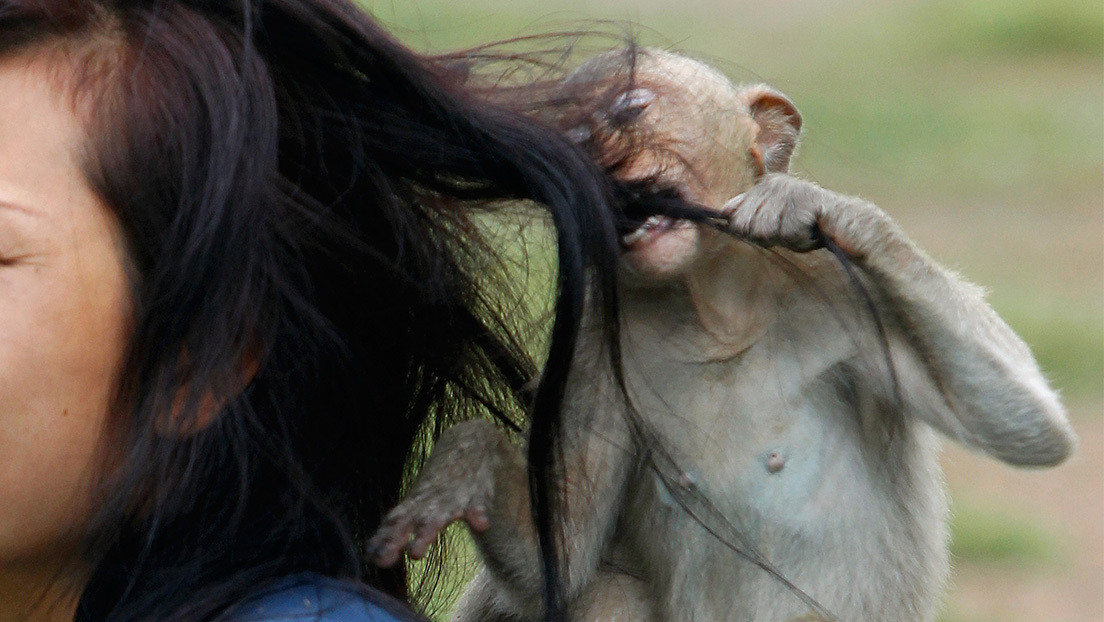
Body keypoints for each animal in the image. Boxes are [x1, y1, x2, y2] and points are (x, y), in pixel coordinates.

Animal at [366, 49, 1073, 622]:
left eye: (629, 110)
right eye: (575, 135)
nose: (597, 154)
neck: (715, 309)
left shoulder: (847, 293)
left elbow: (1027, 427)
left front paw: (820, 207)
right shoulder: (595, 334)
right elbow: (563, 554)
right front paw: (468, 465)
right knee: (609, 587)